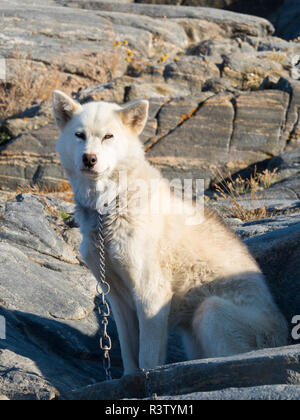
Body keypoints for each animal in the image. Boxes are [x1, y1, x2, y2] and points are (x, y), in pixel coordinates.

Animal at [53, 91, 288, 374]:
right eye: (79, 135)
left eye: (108, 136)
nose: (89, 158)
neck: (108, 207)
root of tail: (282, 337)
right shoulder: (117, 299)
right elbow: (129, 356)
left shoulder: (151, 294)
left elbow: (147, 358)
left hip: (210, 310)